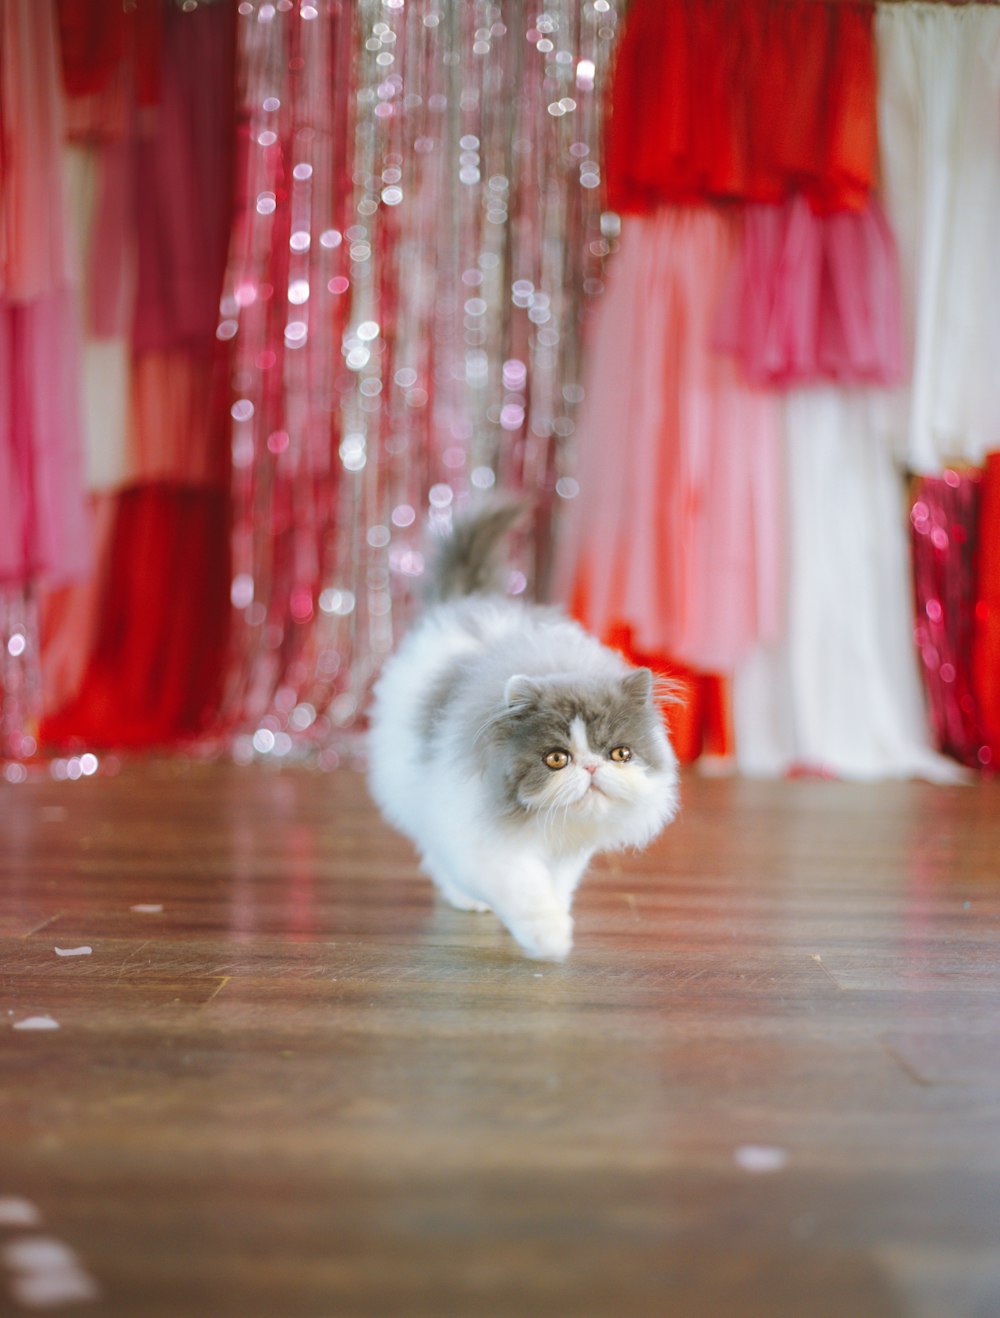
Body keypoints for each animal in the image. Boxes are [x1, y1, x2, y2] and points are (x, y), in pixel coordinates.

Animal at [368, 500, 679, 959]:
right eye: (557, 759)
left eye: (620, 754)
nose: (591, 768)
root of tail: (468, 606)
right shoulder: (483, 842)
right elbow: (526, 893)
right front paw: (551, 939)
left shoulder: (566, 854)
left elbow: (555, 886)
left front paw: (557, 918)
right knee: (437, 856)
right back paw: (467, 900)